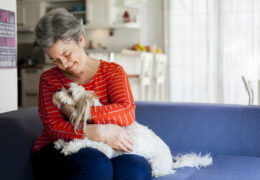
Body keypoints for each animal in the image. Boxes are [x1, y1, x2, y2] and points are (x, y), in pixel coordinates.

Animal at [51, 83, 212, 177]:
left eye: (70, 92)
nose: (57, 89)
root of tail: (170, 161)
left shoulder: (106, 147)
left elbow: (85, 142)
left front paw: (70, 147)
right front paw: (61, 142)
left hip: (157, 162)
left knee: (165, 172)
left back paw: (157, 173)